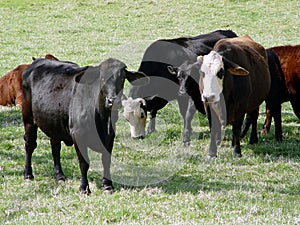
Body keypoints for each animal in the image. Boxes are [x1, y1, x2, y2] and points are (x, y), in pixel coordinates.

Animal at [21, 56, 148, 193]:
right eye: (102, 78)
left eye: (122, 78)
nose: (113, 101)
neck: (102, 118)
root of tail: (37, 61)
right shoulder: (78, 135)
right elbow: (84, 163)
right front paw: (84, 187)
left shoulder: (110, 136)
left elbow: (106, 160)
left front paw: (107, 185)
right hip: (28, 120)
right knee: (30, 145)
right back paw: (28, 174)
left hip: (54, 122)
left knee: (55, 146)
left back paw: (59, 175)